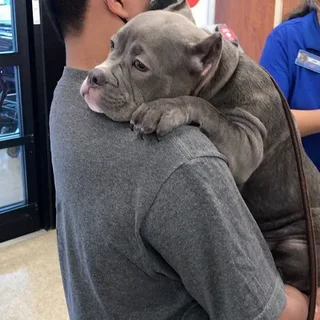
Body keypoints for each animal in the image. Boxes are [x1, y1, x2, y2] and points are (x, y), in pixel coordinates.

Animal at [80, 0, 320, 300]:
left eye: (140, 65)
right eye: (112, 44)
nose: (94, 76)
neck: (221, 77)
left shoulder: (247, 142)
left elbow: (206, 108)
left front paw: (164, 108)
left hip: (299, 244)